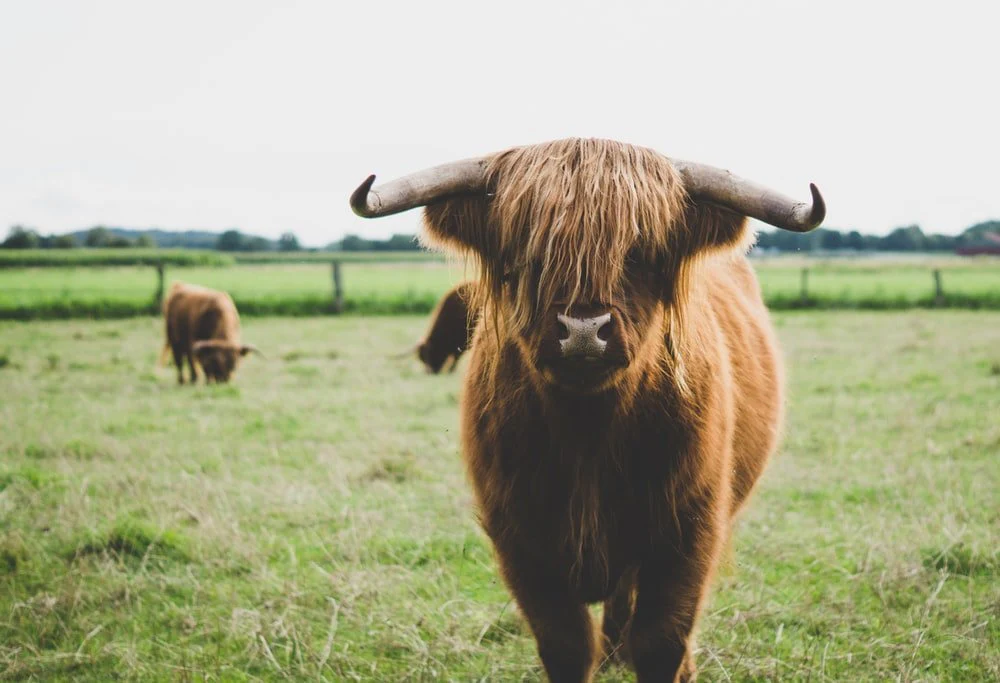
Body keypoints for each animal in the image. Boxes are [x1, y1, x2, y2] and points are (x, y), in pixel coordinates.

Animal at [350, 137, 824, 682]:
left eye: (640, 251)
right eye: (528, 252)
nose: (582, 330)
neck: (589, 433)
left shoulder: (689, 532)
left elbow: (662, 640)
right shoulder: (520, 539)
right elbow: (566, 644)